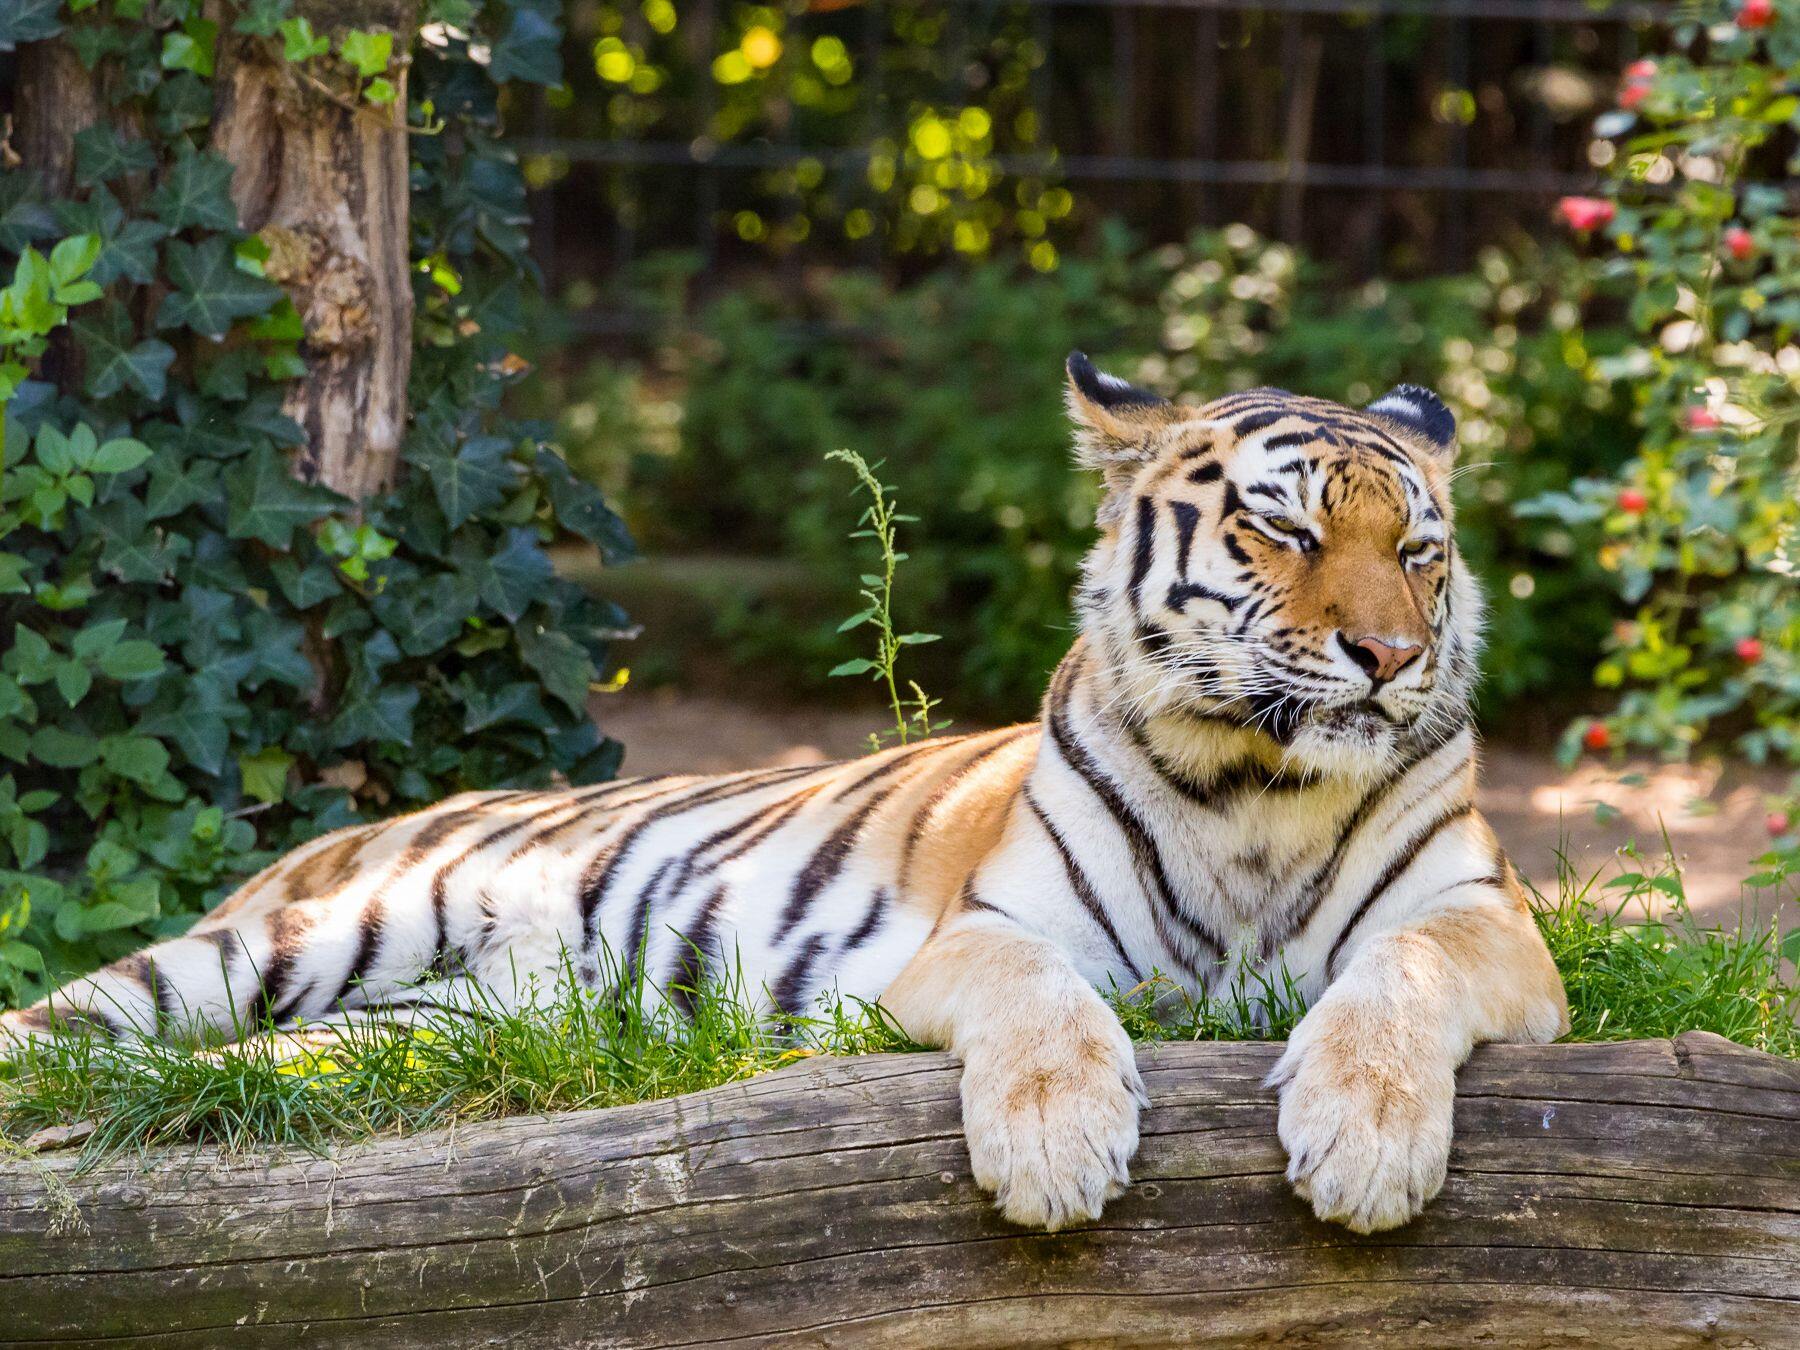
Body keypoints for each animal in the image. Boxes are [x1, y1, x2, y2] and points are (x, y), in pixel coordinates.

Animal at [3, 356, 1562, 1238]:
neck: (1255, 782)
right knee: (71, 1026)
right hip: (298, 941)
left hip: (405, 1031)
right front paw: (1055, 1148)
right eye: (1283, 530)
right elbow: (1045, 1008)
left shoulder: (1489, 924)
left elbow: (1399, 973)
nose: (1392, 655)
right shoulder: (986, 933)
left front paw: (1362, 1143)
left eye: (1418, 552)